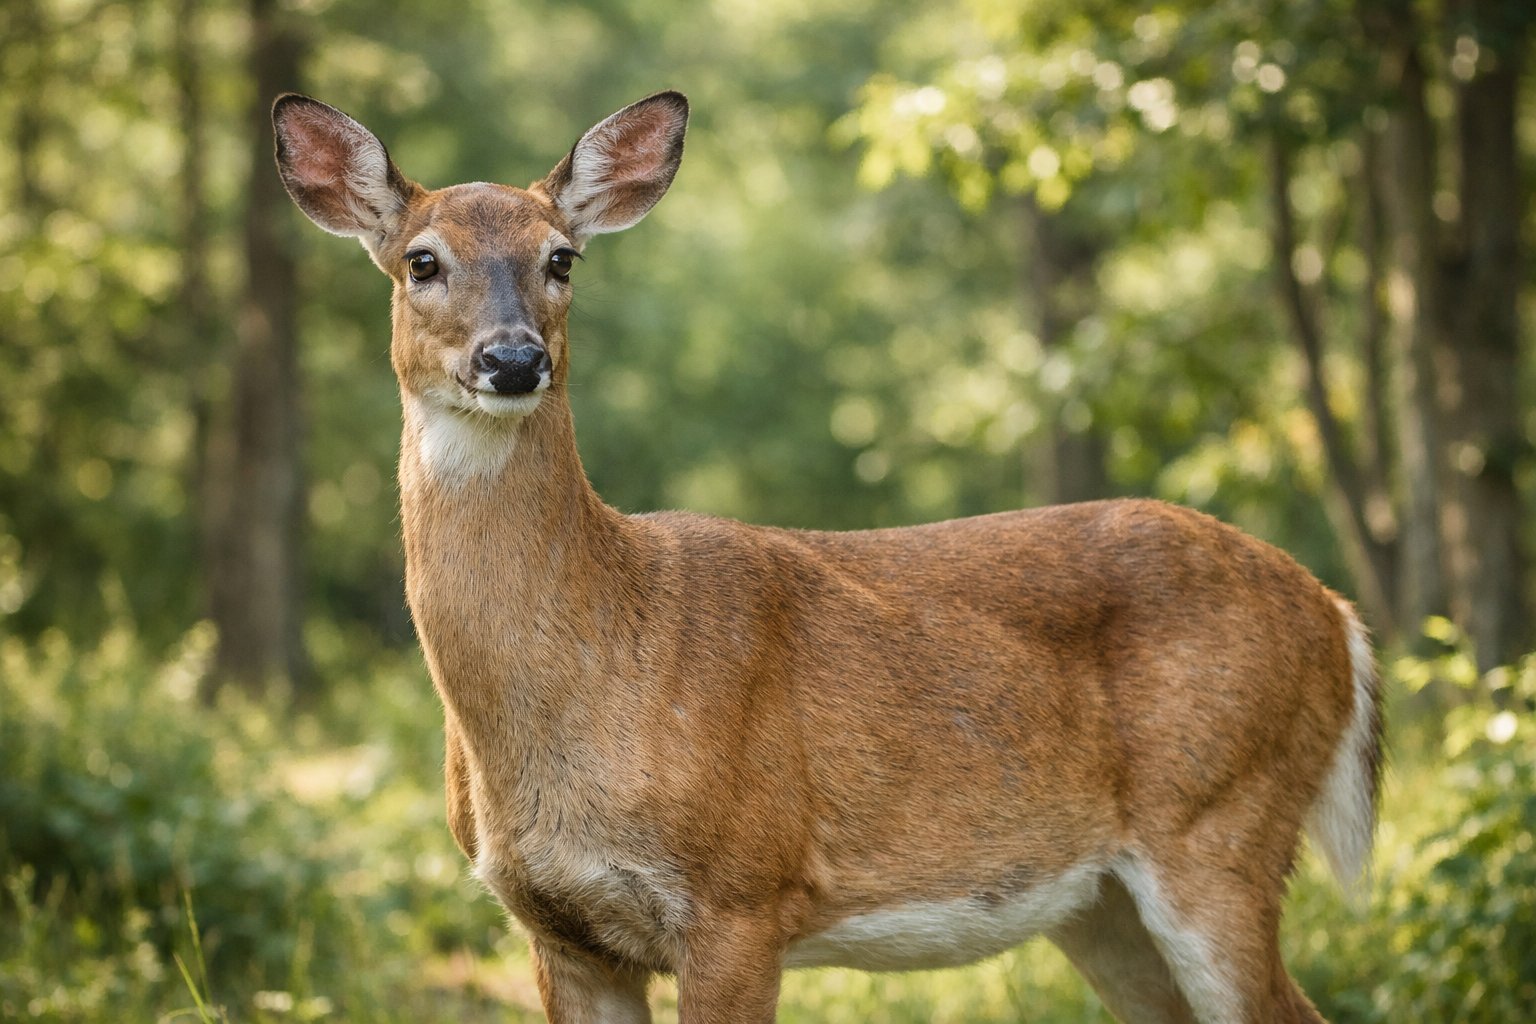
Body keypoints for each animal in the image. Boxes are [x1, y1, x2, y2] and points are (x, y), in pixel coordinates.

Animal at [272, 89, 1384, 1024]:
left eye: (562, 258)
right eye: (421, 259)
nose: (512, 360)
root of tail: (1337, 613)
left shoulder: (742, 892)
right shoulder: (562, 933)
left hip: (1219, 822)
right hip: (1102, 903)